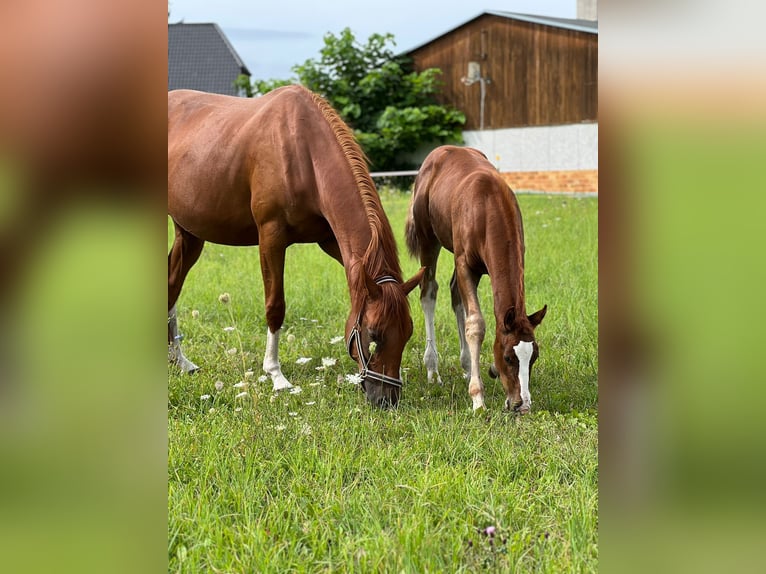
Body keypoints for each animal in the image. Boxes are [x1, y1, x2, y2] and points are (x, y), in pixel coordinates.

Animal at [168, 86, 424, 408]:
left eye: (407, 333)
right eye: (374, 334)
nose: (387, 400)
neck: (302, 150)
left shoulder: (332, 242)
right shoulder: (271, 237)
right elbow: (275, 305)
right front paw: (276, 376)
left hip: (188, 234)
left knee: (172, 285)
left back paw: (180, 361)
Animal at [405, 146, 547, 412]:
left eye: (534, 356)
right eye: (508, 357)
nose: (522, 404)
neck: (488, 205)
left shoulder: (486, 267)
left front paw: (483, 371)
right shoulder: (465, 264)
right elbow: (476, 323)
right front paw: (477, 398)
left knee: (454, 292)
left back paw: (467, 366)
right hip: (429, 241)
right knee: (429, 291)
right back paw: (433, 370)